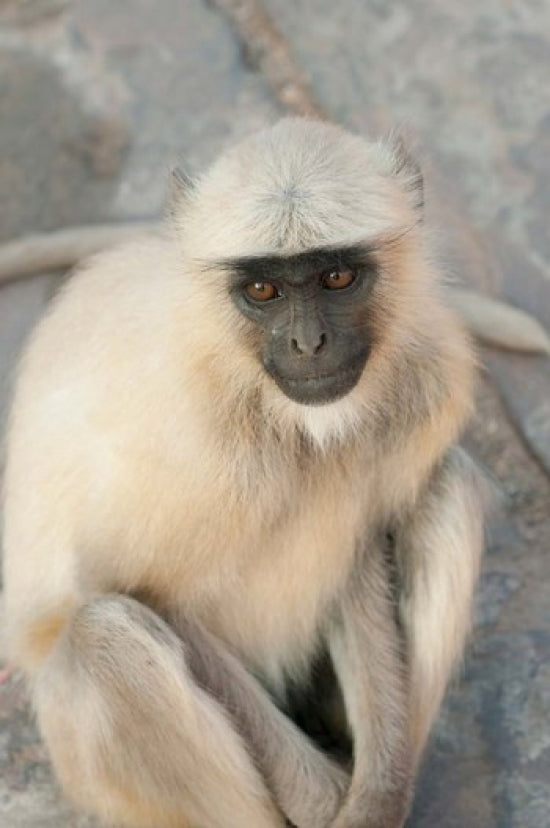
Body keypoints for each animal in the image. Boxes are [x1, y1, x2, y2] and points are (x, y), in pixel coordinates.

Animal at [2, 117, 484, 828]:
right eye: (263, 290)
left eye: (337, 276)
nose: (308, 345)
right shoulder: (187, 435)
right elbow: (140, 590)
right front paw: (325, 799)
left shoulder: (424, 379)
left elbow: (359, 552)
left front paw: (376, 798)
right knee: (102, 634)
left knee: (452, 486)